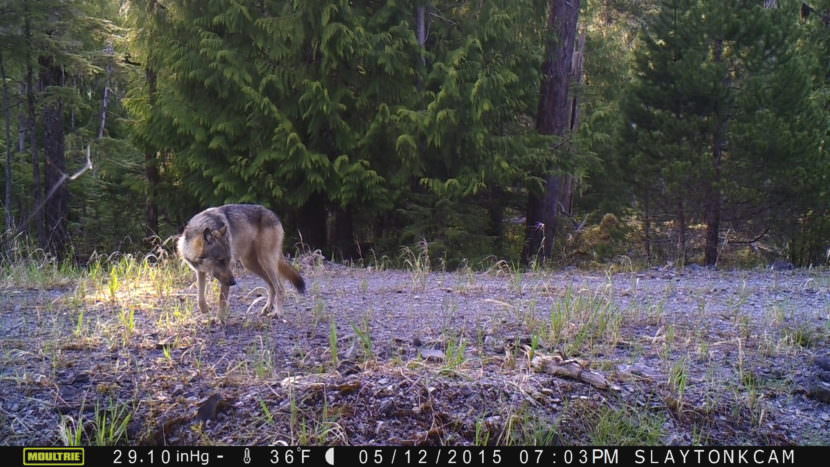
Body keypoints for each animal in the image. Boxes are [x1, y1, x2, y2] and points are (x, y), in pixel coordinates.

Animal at [177, 204, 305, 316]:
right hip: (250, 264)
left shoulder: (227, 275)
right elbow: (200, 295)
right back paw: (267, 308)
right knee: (272, 286)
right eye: (221, 260)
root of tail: (273, 214)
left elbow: (222, 299)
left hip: (266, 262)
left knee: (280, 287)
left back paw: (277, 313)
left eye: (228, 261)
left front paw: (220, 319)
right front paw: (204, 310)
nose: (233, 282)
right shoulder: (200, 271)